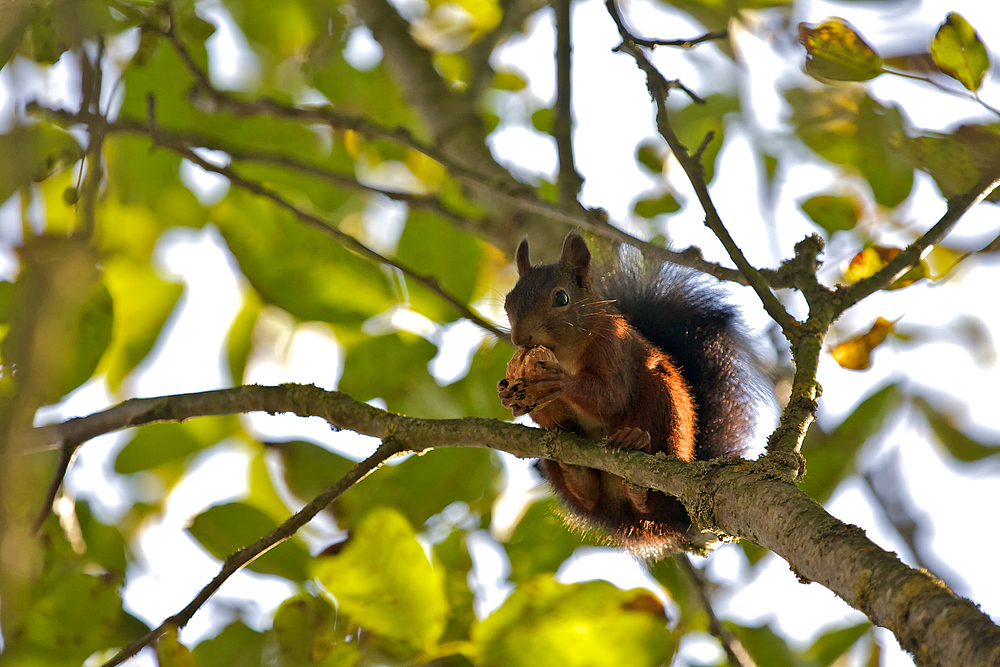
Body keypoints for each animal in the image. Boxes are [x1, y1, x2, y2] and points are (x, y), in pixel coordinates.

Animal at [496, 235, 760, 560]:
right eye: (508, 302)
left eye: (561, 299)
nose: (520, 339)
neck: (567, 354)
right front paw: (507, 394)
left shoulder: (613, 348)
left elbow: (611, 398)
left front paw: (558, 381)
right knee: (589, 497)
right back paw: (577, 472)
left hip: (666, 407)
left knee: (651, 494)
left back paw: (636, 451)